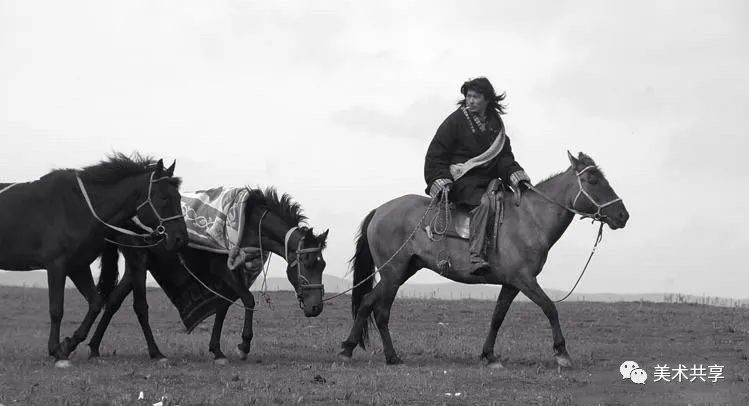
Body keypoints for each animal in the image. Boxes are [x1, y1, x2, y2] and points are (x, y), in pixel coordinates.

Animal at [0, 153, 186, 368]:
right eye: (164, 197)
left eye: (179, 197)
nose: (181, 238)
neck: (76, 206)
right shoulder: (56, 265)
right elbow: (56, 309)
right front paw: (57, 351)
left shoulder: (78, 267)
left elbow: (96, 303)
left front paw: (68, 344)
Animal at [87, 186, 328, 362]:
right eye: (307, 263)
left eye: (323, 265)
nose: (316, 308)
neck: (249, 223)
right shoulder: (223, 269)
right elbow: (248, 300)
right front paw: (244, 345)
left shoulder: (232, 270)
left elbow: (222, 306)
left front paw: (217, 350)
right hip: (139, 260)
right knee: (138, 306)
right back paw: (154, 352)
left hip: (135, 265)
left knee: (114, 301)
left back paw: (94, 347)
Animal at [342, 152, 628, 368]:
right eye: (592, 180)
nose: (623, 215)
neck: (530, 219)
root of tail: (380, 210)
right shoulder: (525, 280)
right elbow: (550, 308)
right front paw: (561, 353)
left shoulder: (511, 284)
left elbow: (497, 317)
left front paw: (489, 355)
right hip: (393, 272)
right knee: (381, 311)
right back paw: (390, 357)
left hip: (401, 271)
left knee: (367, 302)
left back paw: (349, 348)